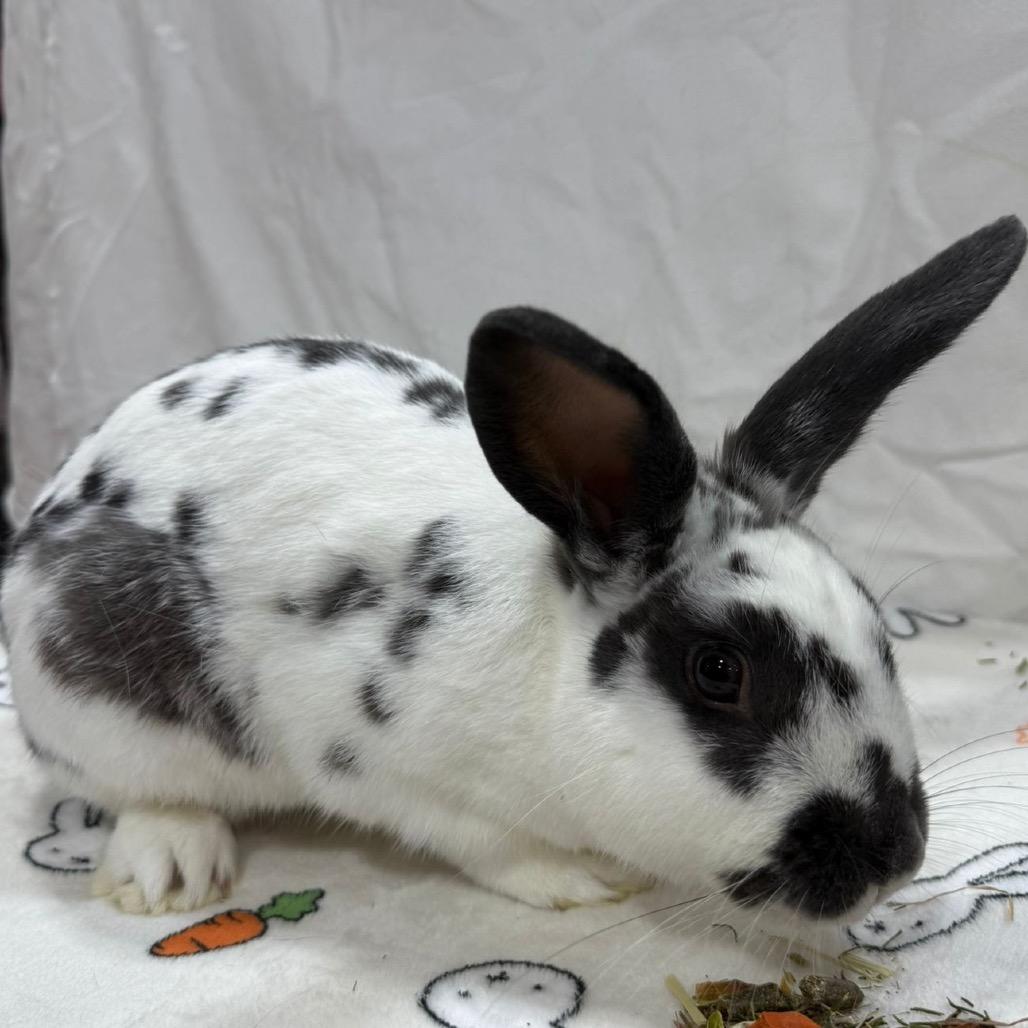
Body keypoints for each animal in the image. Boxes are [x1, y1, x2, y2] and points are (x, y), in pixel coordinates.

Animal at [3, 216, 1024, 919]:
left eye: (882, 634)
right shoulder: (387, 767)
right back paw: (171, 870)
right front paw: (581, 880)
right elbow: (491, 847)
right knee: (133, 790)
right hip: (95, 693)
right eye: (719, 672)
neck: (544, 667)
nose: (895, 858)